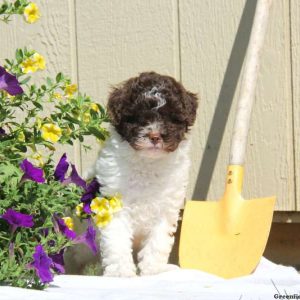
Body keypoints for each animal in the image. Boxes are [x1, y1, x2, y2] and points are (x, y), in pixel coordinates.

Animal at [93, 71, 197, 276]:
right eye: (139, 117)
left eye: (172, 118)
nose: (155, 136)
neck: (148, 164)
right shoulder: (113, 205)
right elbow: (116, 241)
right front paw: (120, 272)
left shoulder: (166, 209)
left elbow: (158, 241)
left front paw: (154, 270)